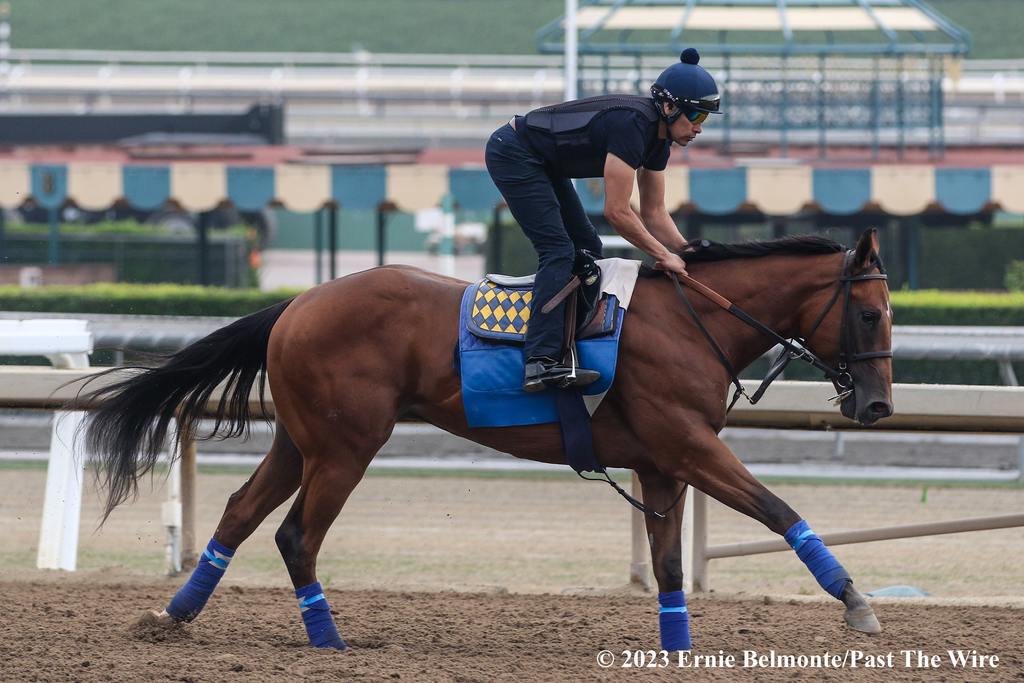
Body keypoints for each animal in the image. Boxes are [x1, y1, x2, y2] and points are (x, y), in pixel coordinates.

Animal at [83, 228, 892, 651]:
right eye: (870, 314)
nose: (880, 404)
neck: (696, 320)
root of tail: (299, 301)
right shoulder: (691, 446)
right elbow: (780, 511)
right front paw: (856, 601)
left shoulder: (663, 463)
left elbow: (667, 565)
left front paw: (676, 649)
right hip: (345, 448)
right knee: (295, 535)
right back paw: (327, 637)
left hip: (299, 440)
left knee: (241, 513)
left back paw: (174, 614)